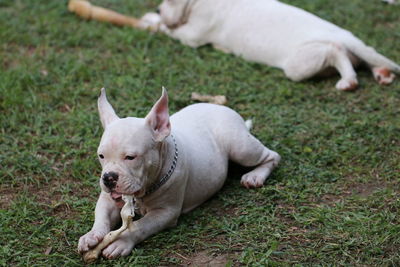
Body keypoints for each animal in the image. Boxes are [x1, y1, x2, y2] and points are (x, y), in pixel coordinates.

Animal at [76, 88, 280, 260]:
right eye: (101, 156)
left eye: (131, 157)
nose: (109, 177)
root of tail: (223, 109)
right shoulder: (108, 198)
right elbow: (101, 215)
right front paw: (92, 236)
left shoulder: (166, 213)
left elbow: (141, 226)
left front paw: (121, 241)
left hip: (240, 147)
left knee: (273, 156)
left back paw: (255, 176)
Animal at [140, 0, 400, 90]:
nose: (158, 9)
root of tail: (345, 36)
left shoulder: (192, 34)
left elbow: (170, 29)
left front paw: (151, 21)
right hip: (354, 50)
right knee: (367, 57)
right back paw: (381, 73)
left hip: (300, 63)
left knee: (335, 51)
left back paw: (348, 80)